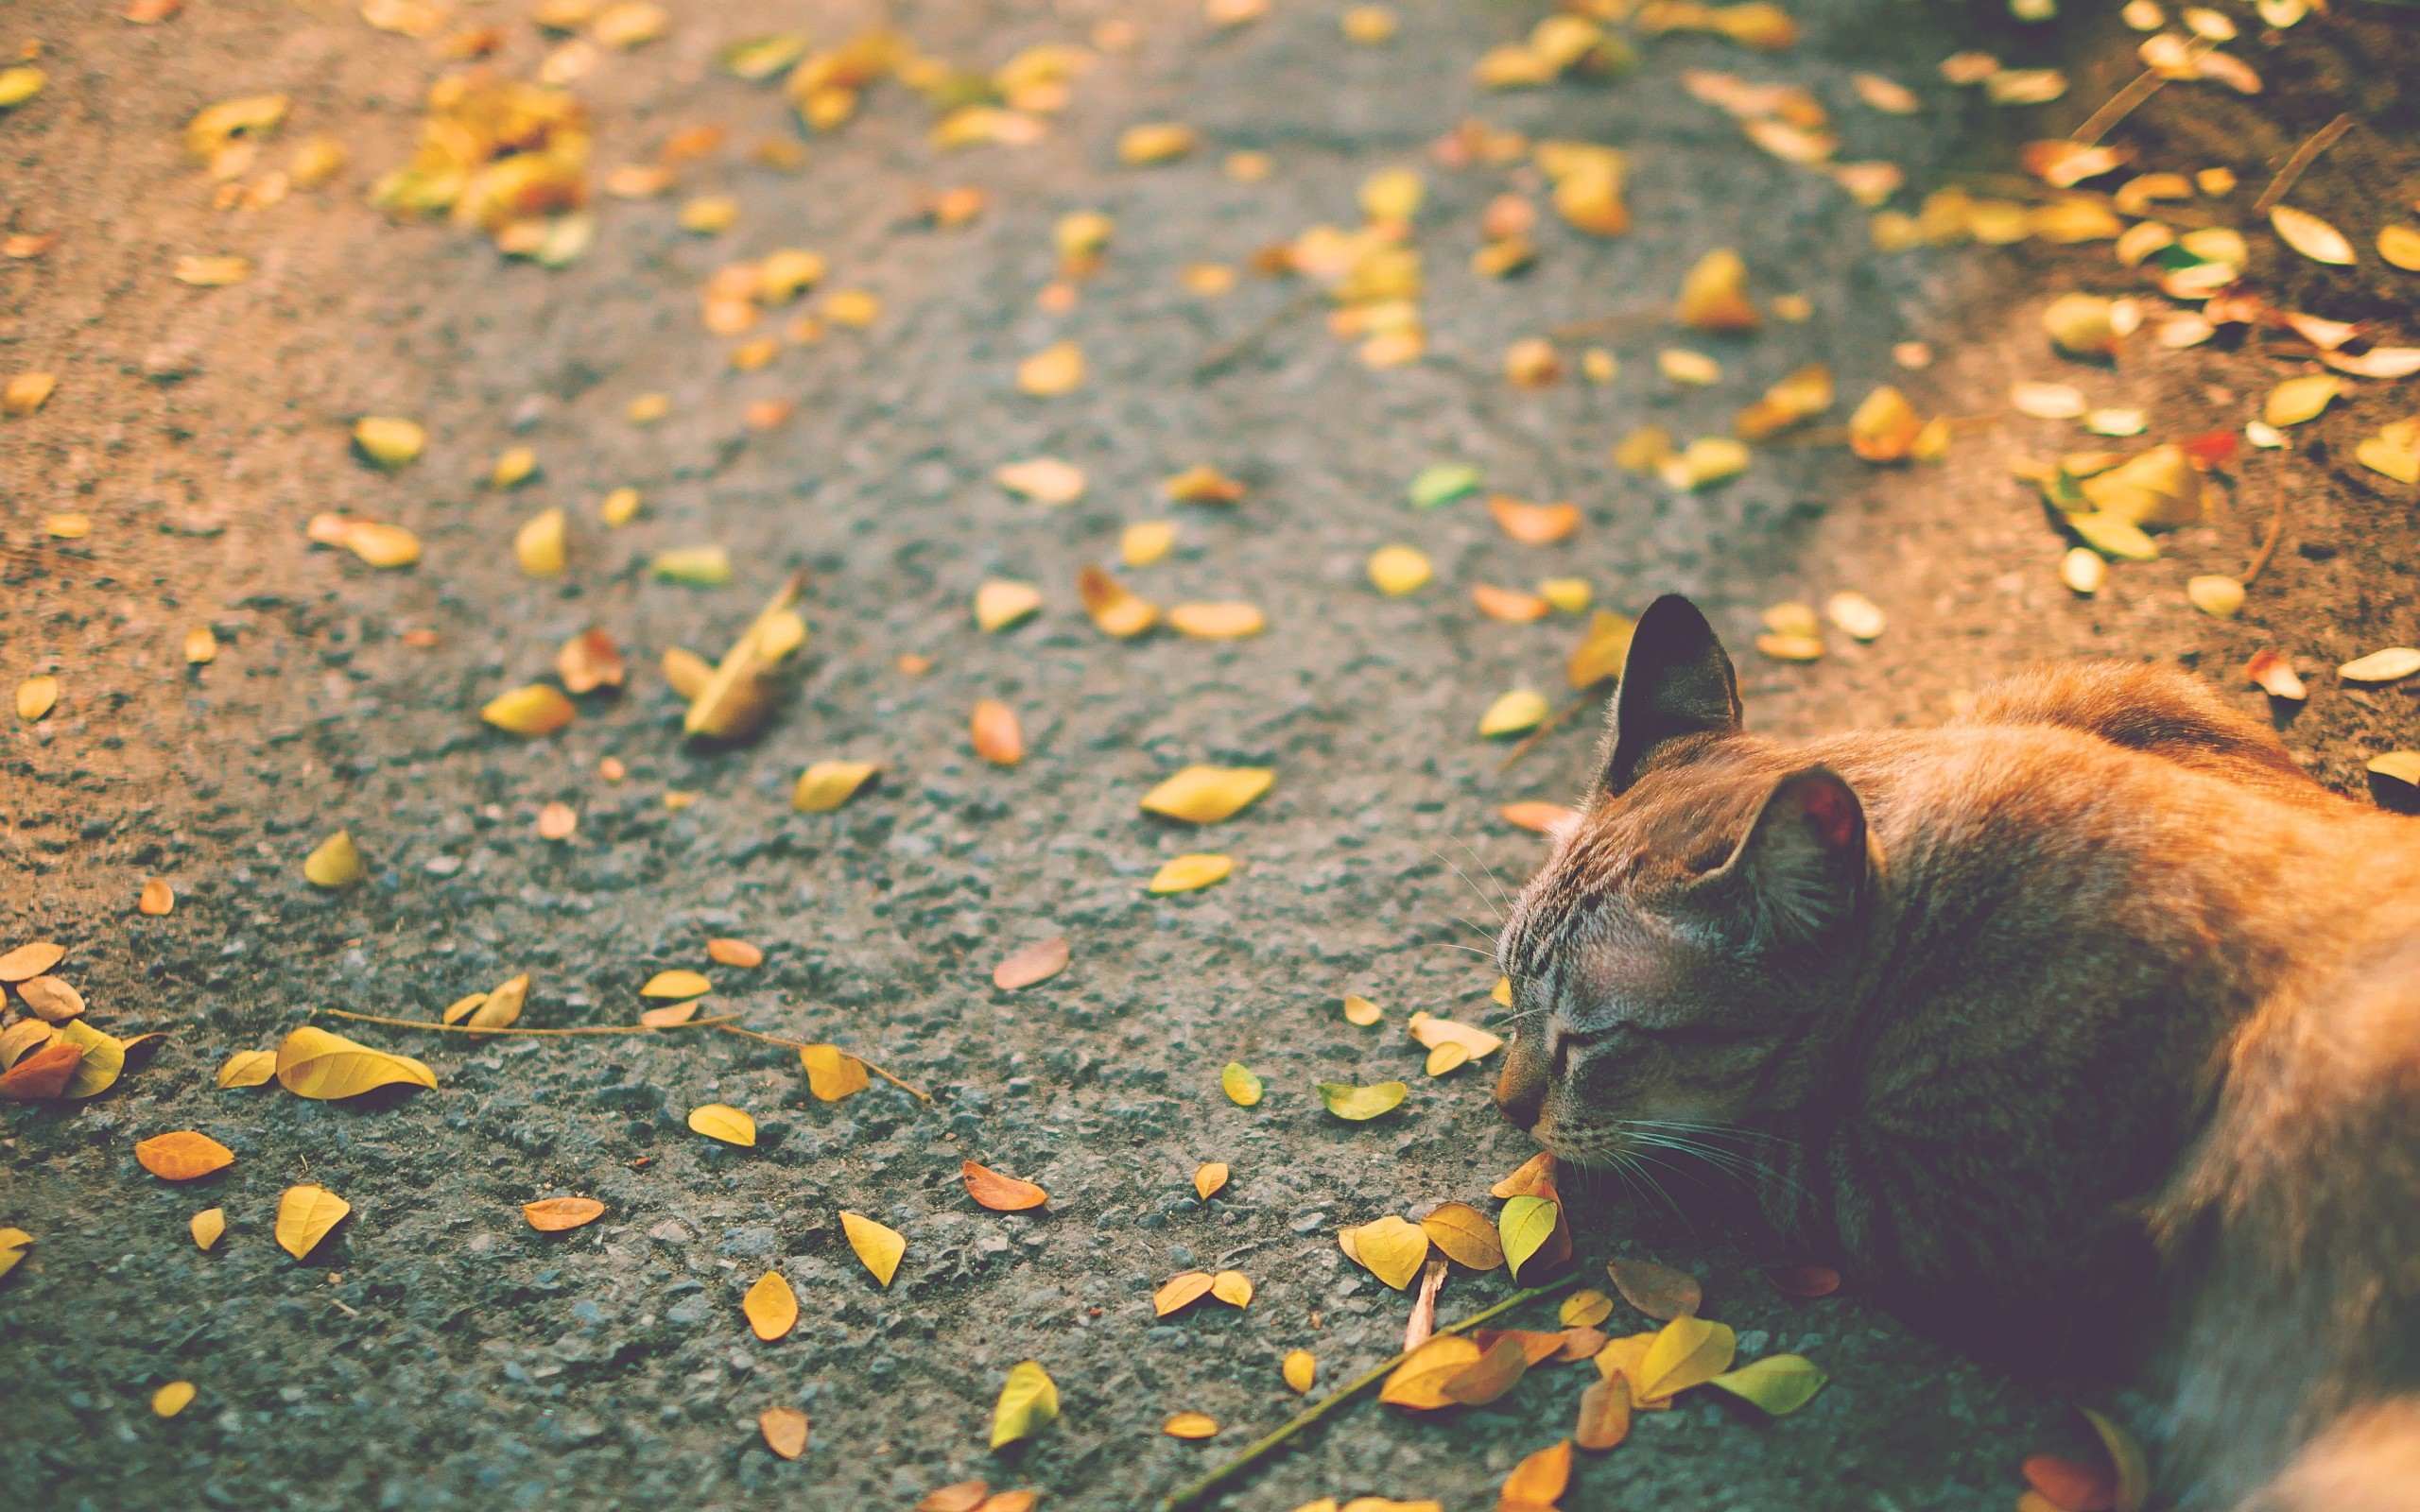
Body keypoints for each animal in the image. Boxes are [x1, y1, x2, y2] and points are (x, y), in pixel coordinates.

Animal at [1490, 590, 2420, 1509]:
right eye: (1510, 987)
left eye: (1593, 1039)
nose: (1503, 1107)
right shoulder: (2110, 697)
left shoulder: (1948, 1221)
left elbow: (1744, 1151)